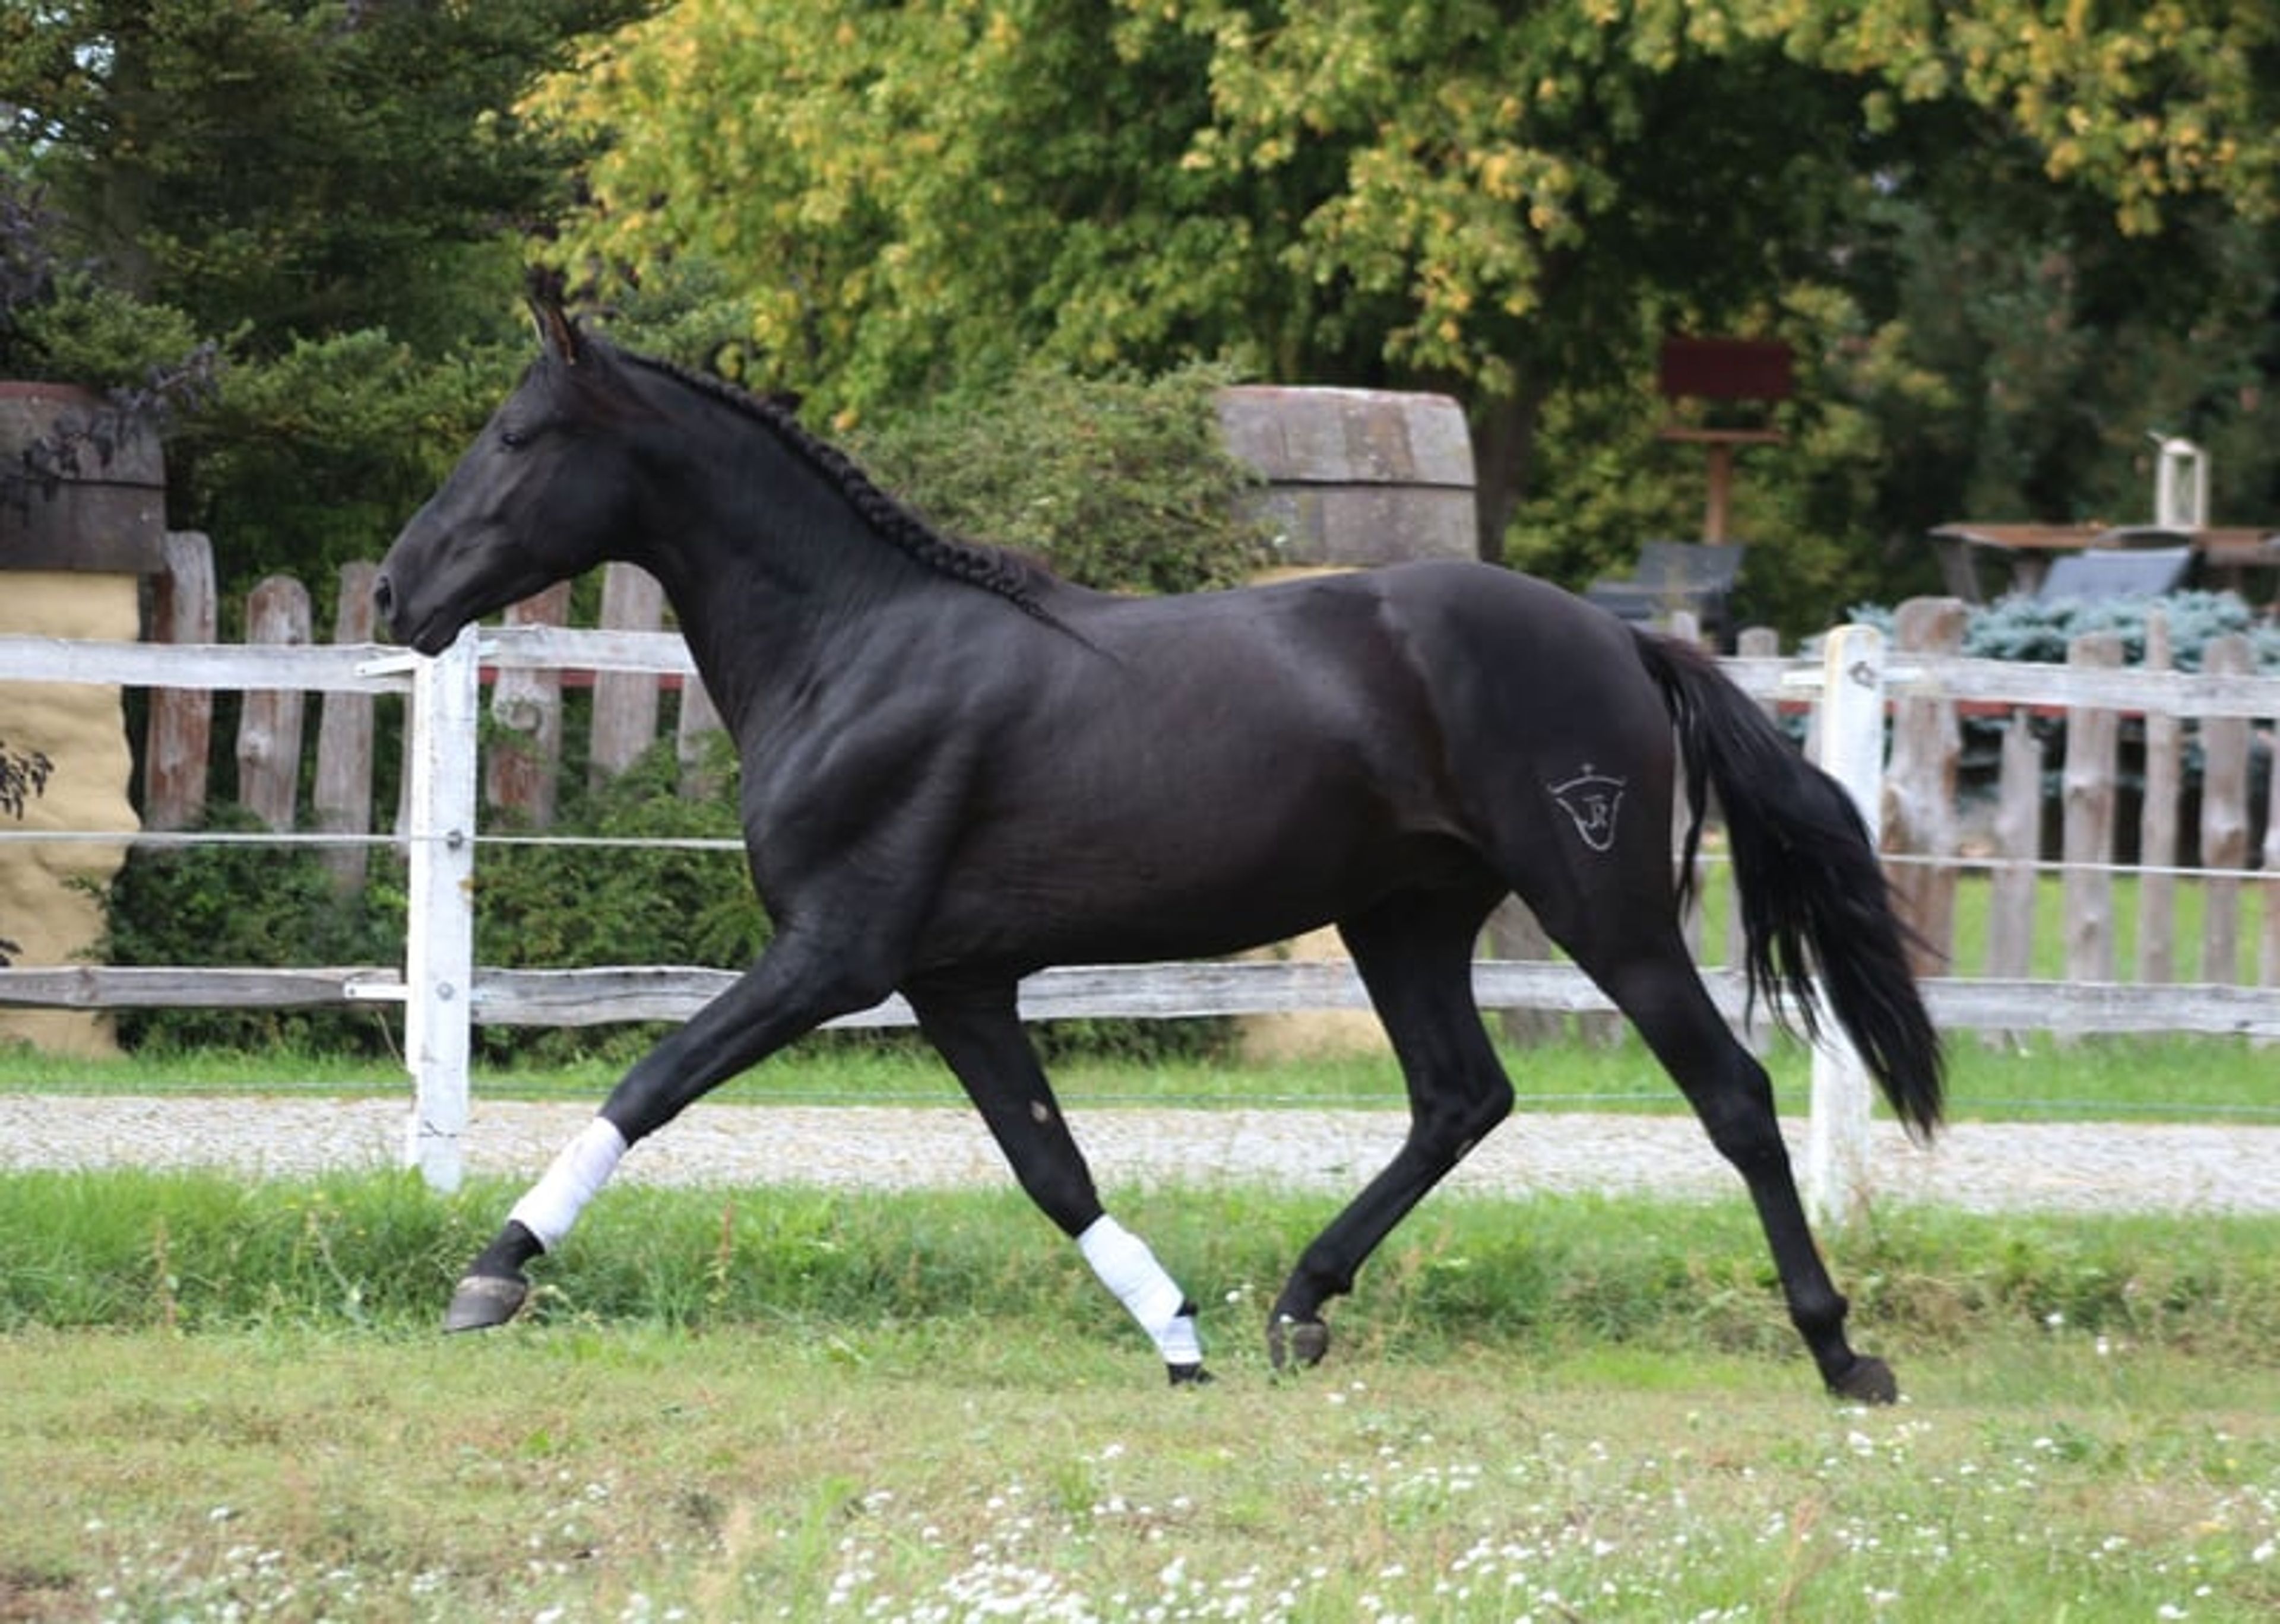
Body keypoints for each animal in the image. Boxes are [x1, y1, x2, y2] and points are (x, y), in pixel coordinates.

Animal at [375, 297, 1942, 1401]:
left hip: (1597, 904)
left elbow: (651, 1079)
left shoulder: (835, 954)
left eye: (516, 438)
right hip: (1405, 918)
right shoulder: (957, 982)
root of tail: (1624, 639)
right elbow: (1050, 1166)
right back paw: (1297, 1309)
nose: (396, 588)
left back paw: (1841, 1355)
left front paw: (490, 1275)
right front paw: (1177, 1333)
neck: (854, 649)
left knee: (1730, 1093)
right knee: (1460, 1096)